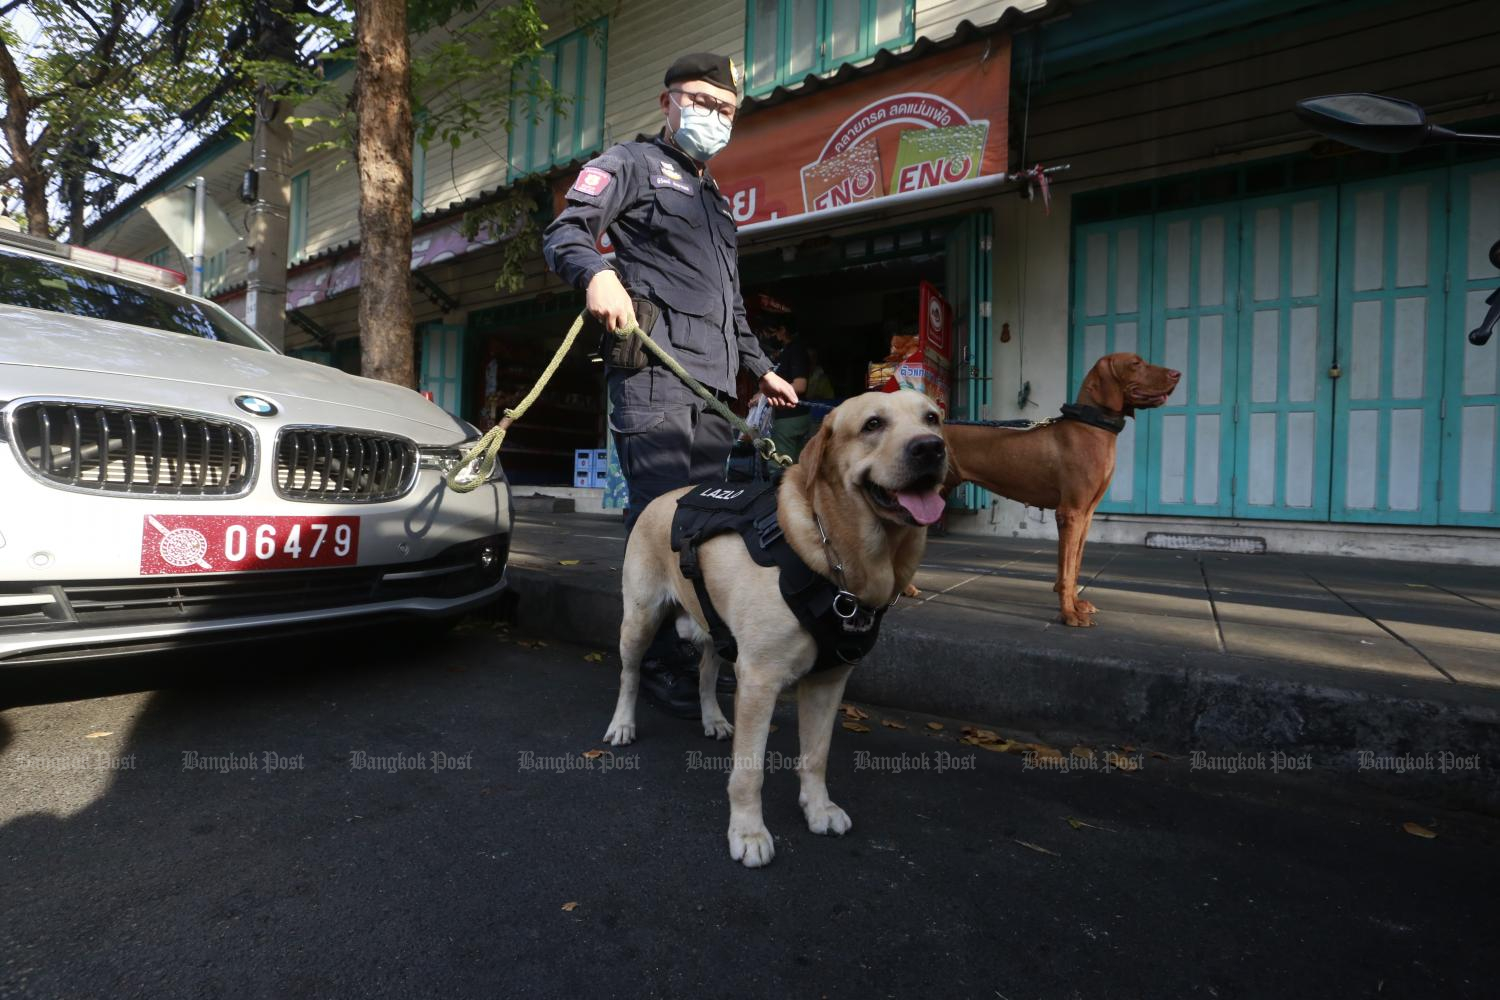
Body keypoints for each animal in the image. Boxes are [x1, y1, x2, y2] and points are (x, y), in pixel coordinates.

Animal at [600, 389, 942, 869]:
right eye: (873, 424)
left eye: (933, 419)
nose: (931, 448)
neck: (838, 558)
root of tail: (662, 497)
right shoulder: (759, 680)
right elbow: (749, 771)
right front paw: (748, 832)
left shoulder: (829, 681)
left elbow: (816, 755)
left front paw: (818, 808)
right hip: (640, 618)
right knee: (629, 674)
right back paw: (623, 725)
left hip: (716, 625)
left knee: (705, 672)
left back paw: (712, 717)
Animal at [942, 353, 1176, 626]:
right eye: (1136, 363)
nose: (1177, 374)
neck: (1091, 426)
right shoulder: (1070, 512)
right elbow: (1066, 571)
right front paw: (1068, 614)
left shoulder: (1086, 515)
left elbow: (1074, 566)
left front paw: (1076, 604)